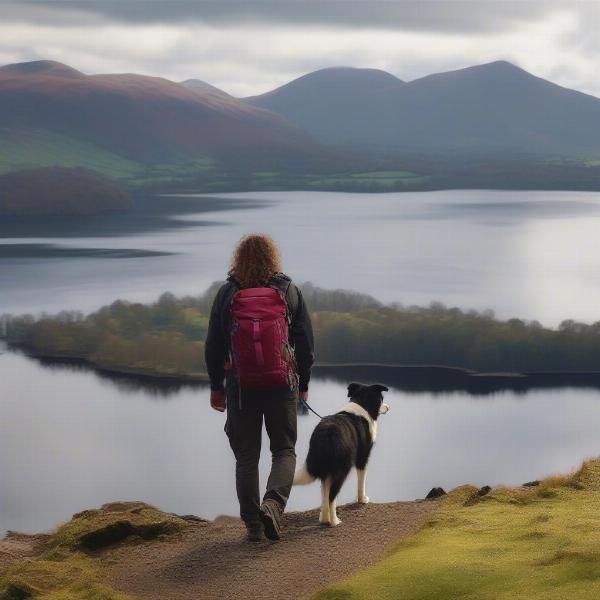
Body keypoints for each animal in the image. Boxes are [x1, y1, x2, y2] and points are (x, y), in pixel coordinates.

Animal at [294, 384, 390, 524]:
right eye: (382, 399)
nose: (388, 407)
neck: (361, 403)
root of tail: (326, 434)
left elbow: (324, 492)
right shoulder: (363, 456)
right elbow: (361, 481)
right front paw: (362, 500)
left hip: (326, 467)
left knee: (325, 492)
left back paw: (324, 519)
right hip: (343, 468)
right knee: (332, 495)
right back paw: (335, 521)